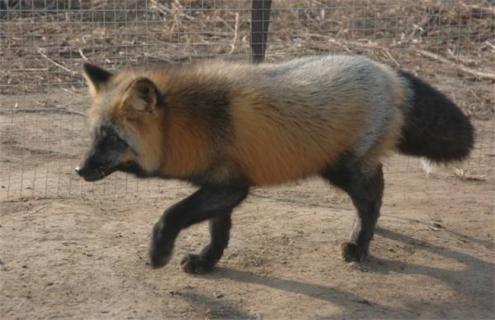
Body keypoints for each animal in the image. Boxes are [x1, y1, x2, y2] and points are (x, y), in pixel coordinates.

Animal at [75, 54, 474, 272]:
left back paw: (360, 245)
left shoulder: (231, 186)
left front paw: (159, 254)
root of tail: (385, 70)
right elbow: (219, 233)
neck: (192, 124)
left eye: (113, 140)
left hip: (342, 169)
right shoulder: (221, 185)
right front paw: (207, 262)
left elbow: (170, 215)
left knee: (373, 196)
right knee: (375, 187)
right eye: (94, 136)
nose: (79, 170)